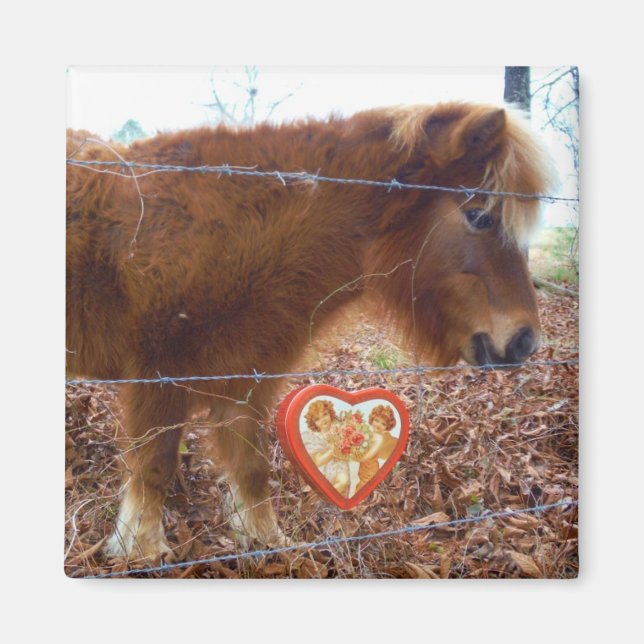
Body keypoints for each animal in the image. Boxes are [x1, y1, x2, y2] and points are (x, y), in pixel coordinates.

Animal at [66, 102, 555, 559]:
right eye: (480, 216)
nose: (525, 340)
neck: (235, 228)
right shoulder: (158, 377)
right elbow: (154, 467)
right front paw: (141, 548)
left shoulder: (245, 380)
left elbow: (252, 468)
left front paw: (265, 542)